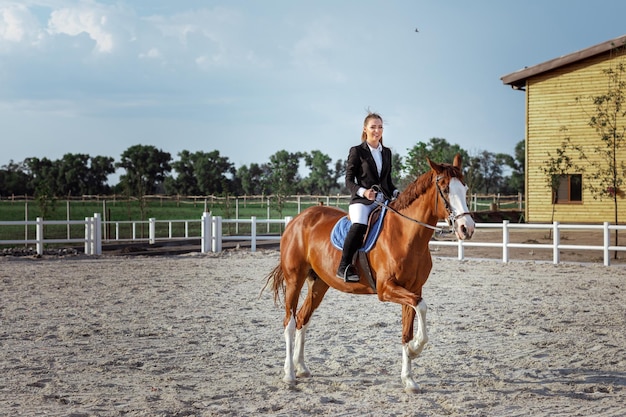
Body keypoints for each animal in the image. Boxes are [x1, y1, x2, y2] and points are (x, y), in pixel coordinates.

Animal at [262, 153, 472, 390]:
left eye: (465, 188)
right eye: (445, 189)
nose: (467, 228)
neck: (405, 235)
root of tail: (298, 219)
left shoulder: (413, 288)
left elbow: (407, 330)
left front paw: (409, 379)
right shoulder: (386, 289)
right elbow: (422, 307)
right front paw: (416, 349)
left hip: (319, 284)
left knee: (301, 318)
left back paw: (302, 368)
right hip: (294, 280)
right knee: (289, 322)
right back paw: (289, 374)